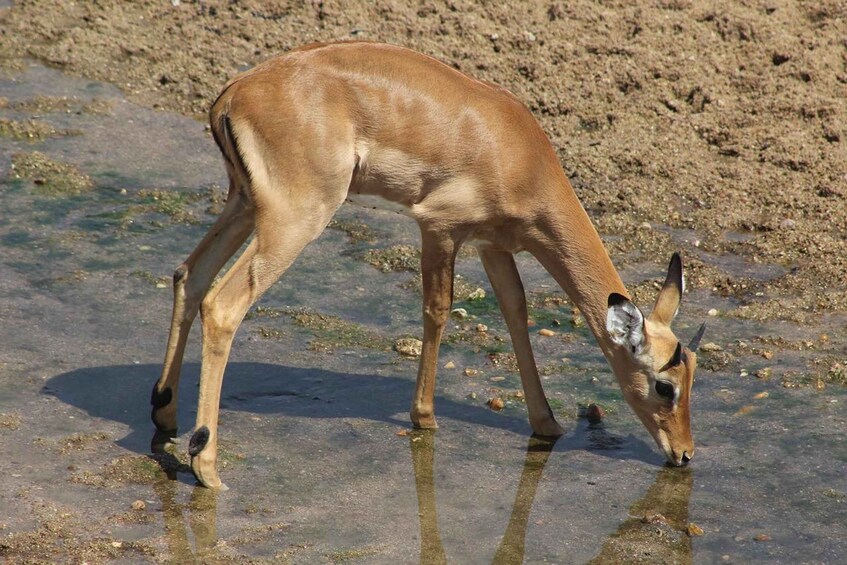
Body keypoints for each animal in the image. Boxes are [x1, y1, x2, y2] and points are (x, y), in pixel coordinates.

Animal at [150, 41, 706, 489]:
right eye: (665, 384)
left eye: (693, 375)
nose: (683, 454)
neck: (516, 150)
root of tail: (234, 92)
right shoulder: (440, 228)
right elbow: (438, 311)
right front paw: (425, 417)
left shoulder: (493, 245)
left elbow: (516, 313)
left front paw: (546, 424)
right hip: (293, 220)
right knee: (223, 305)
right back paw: (208, 468)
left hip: (244, 205)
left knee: (189, 276)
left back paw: (165, 416)